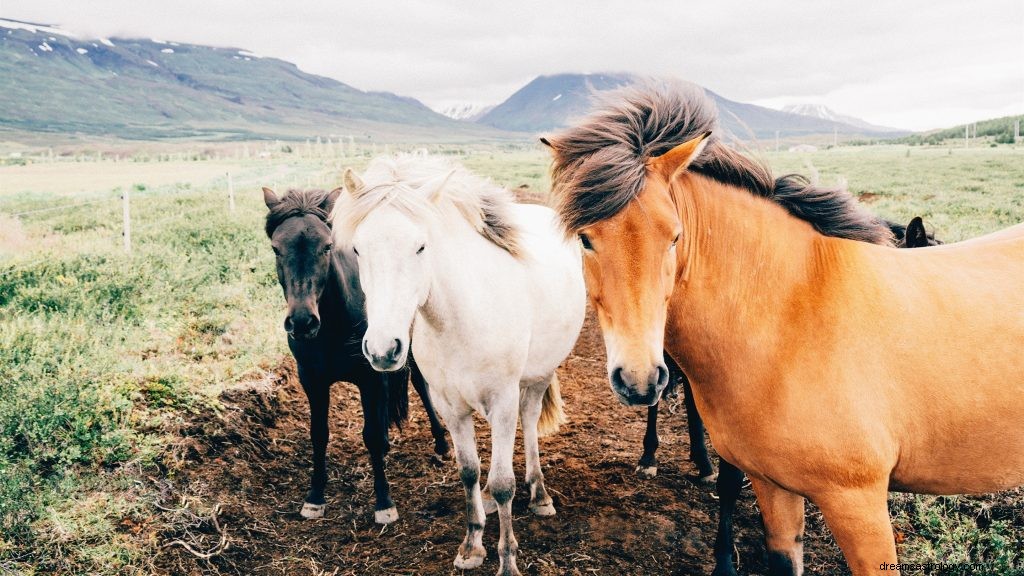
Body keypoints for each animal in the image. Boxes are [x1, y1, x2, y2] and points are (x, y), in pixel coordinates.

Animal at [262, 186, 450, 522]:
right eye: (276, 249)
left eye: (326, 246)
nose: (302, 321)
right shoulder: (312, 381)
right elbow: (319, 434)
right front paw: (315, 497)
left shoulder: (370, 378)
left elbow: (373, 436)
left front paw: (384, 502)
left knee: (421, 385)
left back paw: (441, 443)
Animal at [331, 154, 581, 573]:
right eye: (358, 251)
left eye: (421, 246)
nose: (383, 350)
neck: (461, 318)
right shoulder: (450, 406)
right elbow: (468, 472)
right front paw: (472, 545)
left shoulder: (502, 401)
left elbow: (504, 483)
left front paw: (507, 561)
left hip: (538, 376)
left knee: (529, 423)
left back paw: (540, 494)